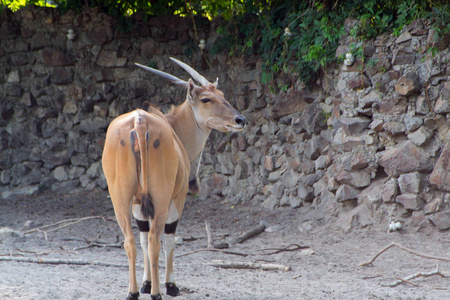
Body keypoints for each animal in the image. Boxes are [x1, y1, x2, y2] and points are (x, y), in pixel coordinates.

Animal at [102, 56, 246, 300]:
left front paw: (146, 283)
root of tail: (140, 122)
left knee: (131, 241)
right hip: (161, 198)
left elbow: (141, 237)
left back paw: (133, 291)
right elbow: (169, 239)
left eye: (222, 95)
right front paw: (170, 285)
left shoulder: (138, 205)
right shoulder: (177, 199)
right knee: (155, 240)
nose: (240, 120)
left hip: (120, 199)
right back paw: (158, 293)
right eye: (206, 99)